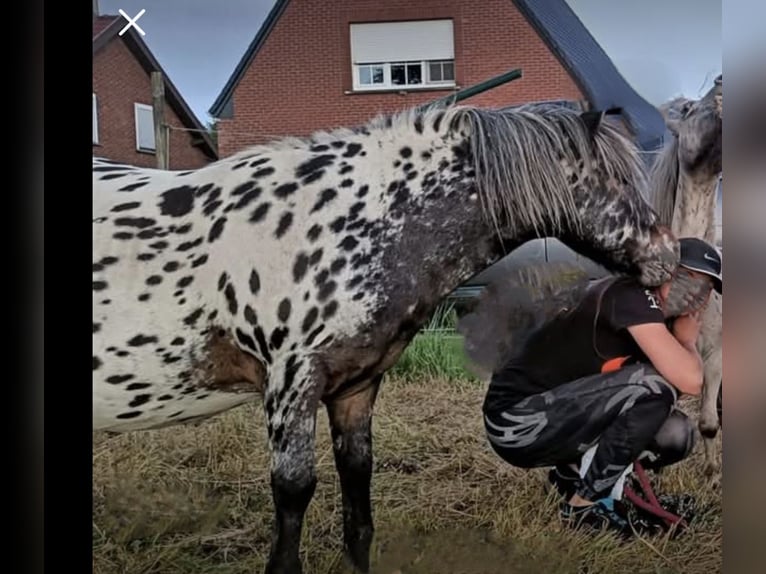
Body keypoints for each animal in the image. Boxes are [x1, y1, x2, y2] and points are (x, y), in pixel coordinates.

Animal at [92, 101, 678, 574]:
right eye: (619, 181)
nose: (669, 256)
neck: (340, 228)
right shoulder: (291, 384)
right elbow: (294, 493)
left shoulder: (355, 388)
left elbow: (358, 496)